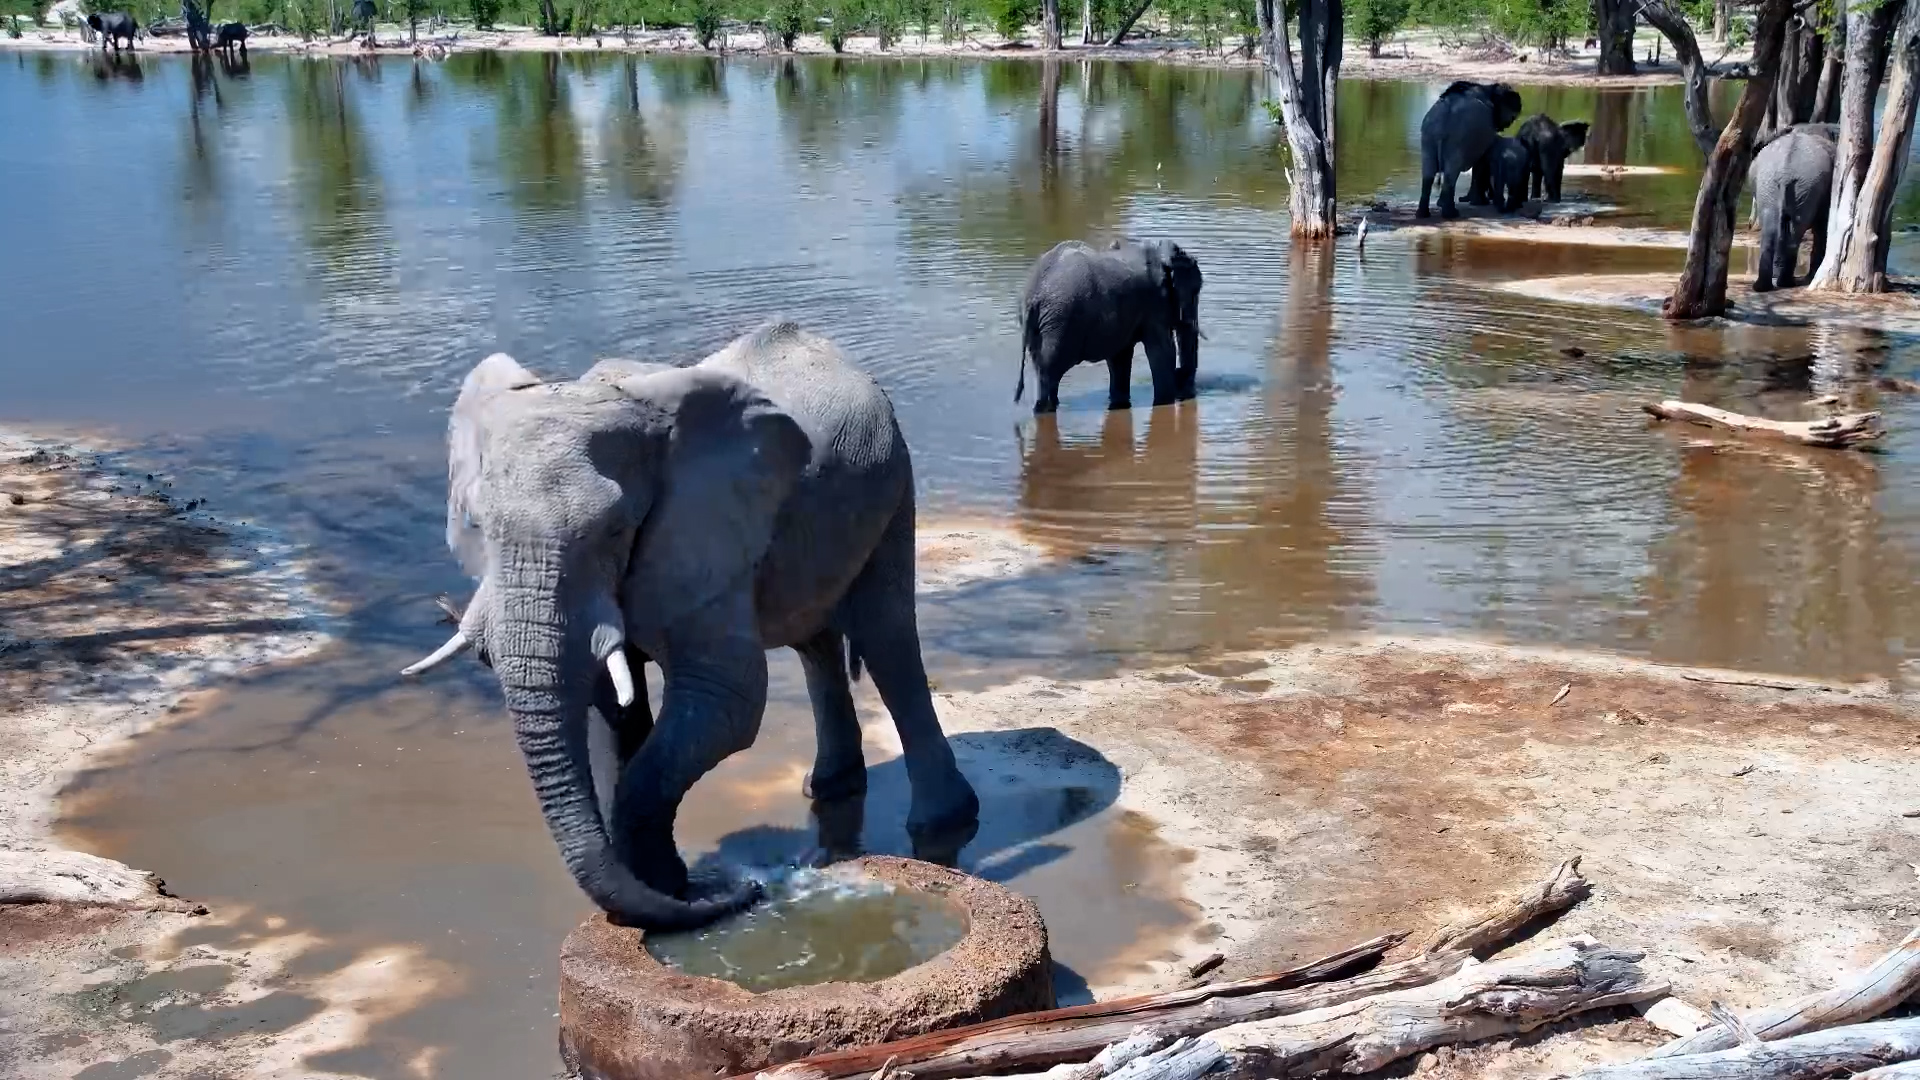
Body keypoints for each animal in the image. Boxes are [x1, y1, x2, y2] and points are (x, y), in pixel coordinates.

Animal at [401, 322, 981, 930]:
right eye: (476, 524)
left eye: (615, 529)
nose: (745, 891)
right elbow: (613, 704)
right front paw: (658, 889)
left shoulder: (699, 528)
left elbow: (726, 698)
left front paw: (671, 890)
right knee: (814, 640)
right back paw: (826, 787)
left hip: (891, 480)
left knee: (886, 637)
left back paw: (941, 824)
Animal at [1016, 239, 1204, 414]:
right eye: (1195, 292)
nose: (1180, 376)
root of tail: (1034, 295)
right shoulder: (1154, 302)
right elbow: (1163, 351)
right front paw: (1165, 400)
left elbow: (1120, 357)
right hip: (1059, 323)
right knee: (1050, 373)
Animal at [1418, 80, 1524, 219]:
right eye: (1512, 116)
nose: (1510, 121)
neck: (1490, 89)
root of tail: (1441, 125)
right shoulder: (1484, 132)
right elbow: (1481, 162)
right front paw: (1480, 202)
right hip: (1456, 140)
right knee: (1451, 173)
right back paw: (1451, 214)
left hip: (1427, 138)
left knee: (1428, 174)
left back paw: (1423, 213)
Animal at [1750, 124, 1838, 292]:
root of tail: (1786, 171)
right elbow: (1822, 227)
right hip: (1806, 186)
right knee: (1795, 230)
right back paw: (1786, 283)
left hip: (1770, 184)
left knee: (1772, 229)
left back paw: (1763, 285)